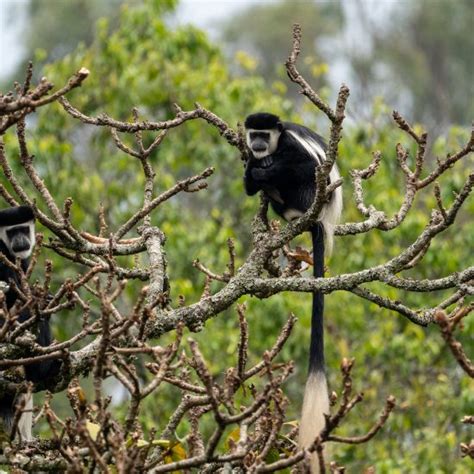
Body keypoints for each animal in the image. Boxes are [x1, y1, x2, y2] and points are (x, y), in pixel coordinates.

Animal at [244, 113, 340, 472]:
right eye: (253, 135)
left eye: (264, 134)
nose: (258, 145)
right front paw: (254, 171)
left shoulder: (289, 145)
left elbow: (302, 164)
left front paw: (266, 168)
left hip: (311, 194)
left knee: (302, 173)